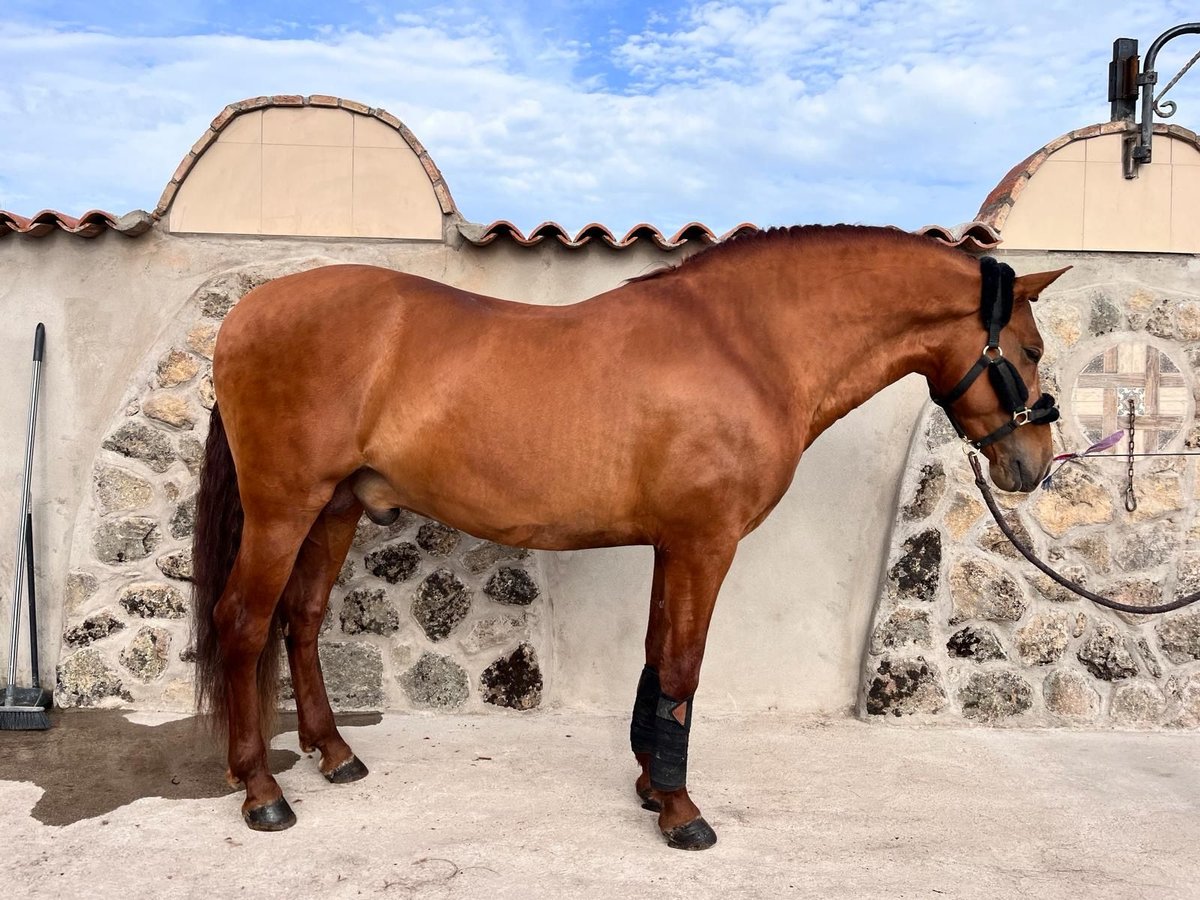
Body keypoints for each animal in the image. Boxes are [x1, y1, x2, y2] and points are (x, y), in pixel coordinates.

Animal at [196, 226, 1070, 854]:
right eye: (1029, 350)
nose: (1033, 465)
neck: (745, 344)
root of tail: (245, 314)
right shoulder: (704, 543)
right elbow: (682, 667)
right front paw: (682, 813)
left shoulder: (671, 545)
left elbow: (656, 660)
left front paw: (652, 786)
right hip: (283, 509)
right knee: (242, 624)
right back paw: (263, 795)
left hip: (335, 510)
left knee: (301, 620)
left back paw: (334, 754)